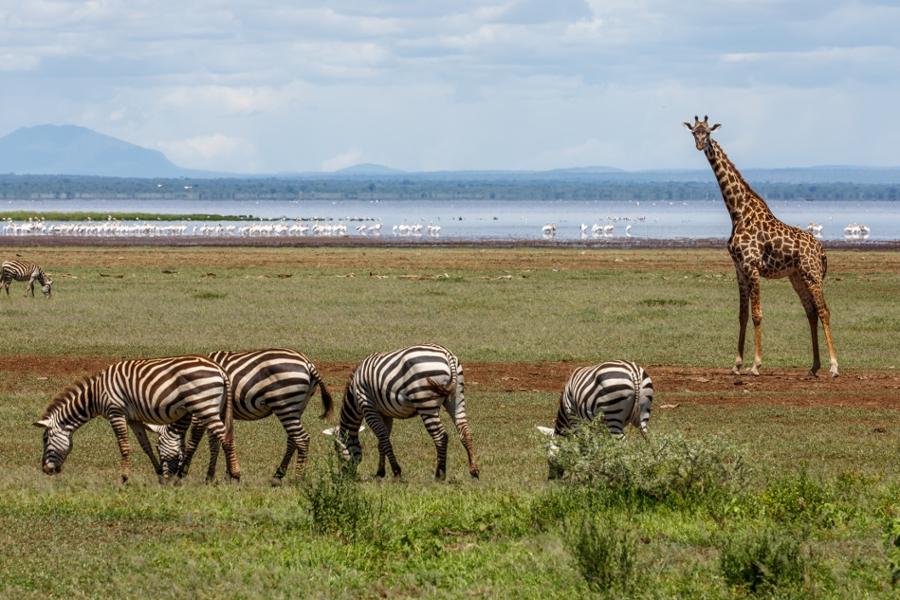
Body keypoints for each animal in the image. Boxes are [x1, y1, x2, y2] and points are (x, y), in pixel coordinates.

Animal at [33, 356, 241, 482]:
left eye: (45, 439)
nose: (45, 470)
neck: (96, 395)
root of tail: (220, 369)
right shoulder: (133, 418)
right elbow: (145, 445)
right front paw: (159, 472)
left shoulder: (115, 412)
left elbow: (123, 446)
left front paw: (124, 477)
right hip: (215, 407)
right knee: (224, 437)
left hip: (204, 406)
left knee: (226, 438)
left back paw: (236, 474)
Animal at [153, 350, 336, 486]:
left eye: (158, 447)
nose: (162, 480)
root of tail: (308, 363)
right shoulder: (219, 413)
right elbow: (217, 443)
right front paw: (219, 476)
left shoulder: (202, 411)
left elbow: (194, 442)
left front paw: (182, 474)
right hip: (296, 407)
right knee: (293, 439)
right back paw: (277, 476)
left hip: (284, 404)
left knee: (302, 438)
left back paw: (298, 479)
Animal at [324, 344, 478, 480]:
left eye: (337, 451)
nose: (346, 476)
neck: (354, 399)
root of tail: (446, 353)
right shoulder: (385, 413)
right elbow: (381, 441)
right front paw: (380, 473)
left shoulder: (368, 407)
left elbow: (384, 439)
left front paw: (396, 472)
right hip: (456, 397)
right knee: (465, 431)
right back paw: (474, 471)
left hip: (425, 402)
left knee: (441, 437)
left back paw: (439, 475)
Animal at [684, 115, 840, 378]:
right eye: (694, 132)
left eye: (709, 132)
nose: (700, 144)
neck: (737, 211)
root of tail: (822, 251)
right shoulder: (739, 268)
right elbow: (742, 315)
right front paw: (737, 364)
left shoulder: (752, 266)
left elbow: (757, 314)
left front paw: (755, 365)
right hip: (797, 277)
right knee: (810, 311)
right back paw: (813, 366)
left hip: (812, 274)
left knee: (824, 311)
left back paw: (834, 366)